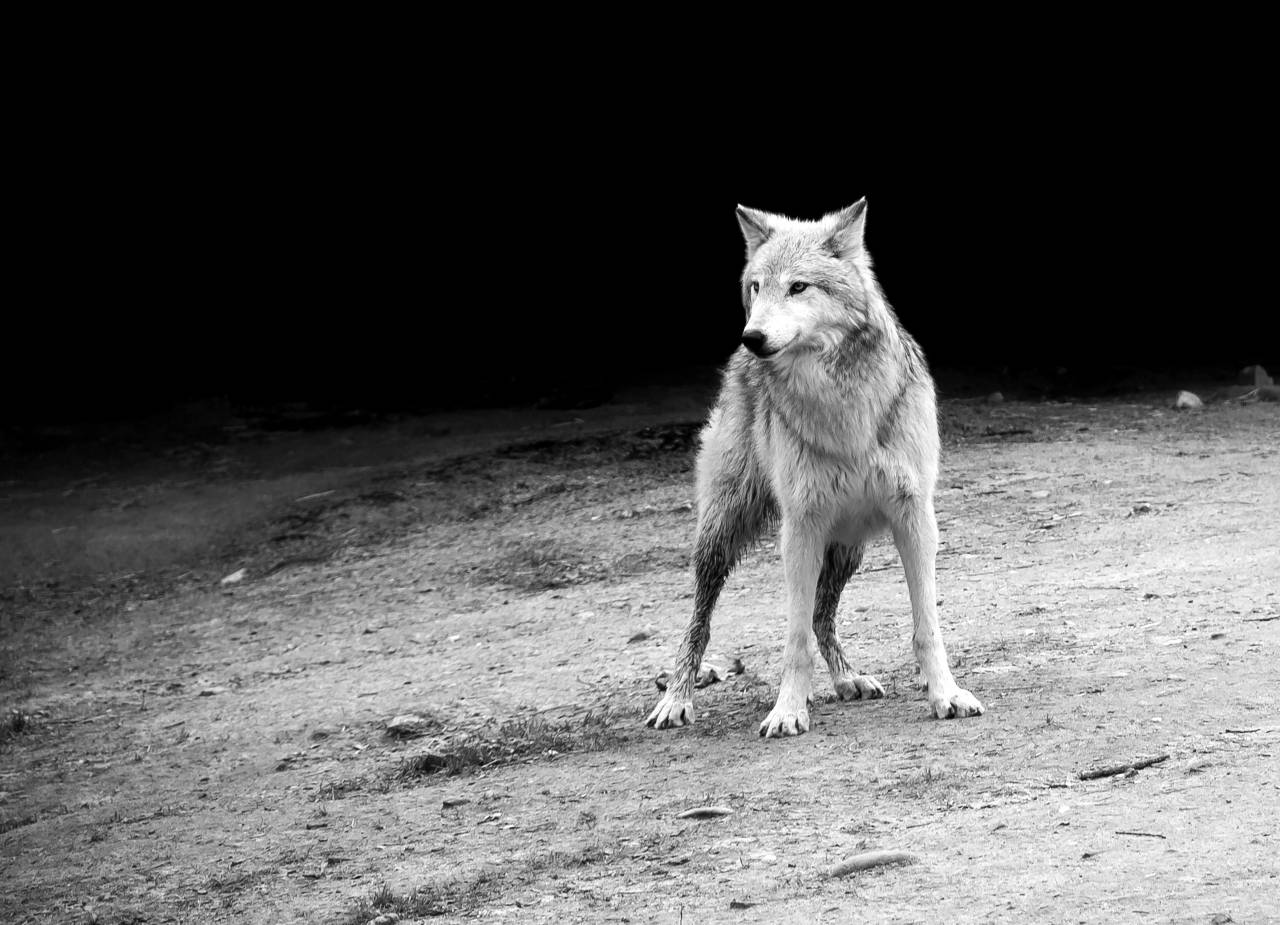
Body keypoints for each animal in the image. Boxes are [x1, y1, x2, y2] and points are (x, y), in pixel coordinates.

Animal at [646, 199, 984, 738]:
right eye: (757, 286)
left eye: (799, 287)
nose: (753, 337)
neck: (843, 408)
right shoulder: (800, 526)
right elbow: (795, 639)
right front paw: (788, 710)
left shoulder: (915, 517)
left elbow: (925, 626)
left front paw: (946, 695)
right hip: (723, 532)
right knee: (701, 619)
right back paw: (677, 698)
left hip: (847, 545)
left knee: (824, 614)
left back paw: (847, 679)